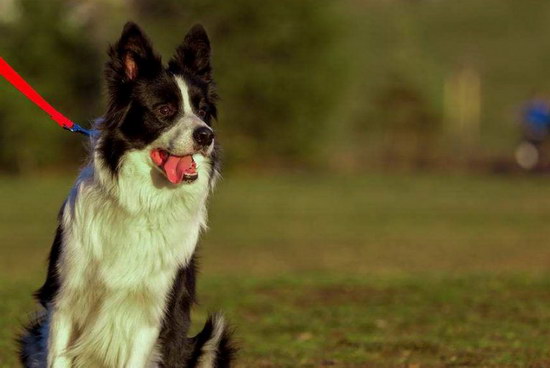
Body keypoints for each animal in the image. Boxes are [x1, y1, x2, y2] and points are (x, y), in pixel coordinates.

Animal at [18, 22, 235, 368]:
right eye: (165, 110)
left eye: (202, 110)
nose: (206, 135)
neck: (141, 203)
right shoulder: (63, 301)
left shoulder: (151, 314)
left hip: (212, 338)